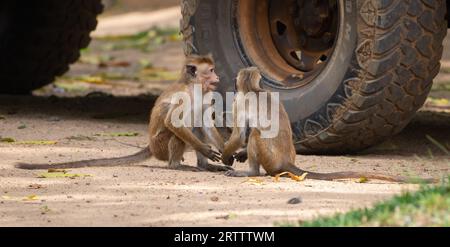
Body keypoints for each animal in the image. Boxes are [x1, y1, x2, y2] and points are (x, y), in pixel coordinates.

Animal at [14, 55, 232, 173]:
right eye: (210, 70)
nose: (217, 77)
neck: (195, 88)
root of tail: (151, 146)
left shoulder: (207, 95)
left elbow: (205, 124)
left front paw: (227, 152)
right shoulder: (182, 96)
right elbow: (173, 122)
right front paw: (203, 149)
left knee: (196, 128)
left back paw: (204, 166)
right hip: (160, 146)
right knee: (176, 134)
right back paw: (176, 166)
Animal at [222, 67, 436, 183]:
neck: (253, 89)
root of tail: (285, 161)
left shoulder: (237, 102)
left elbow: (240, 135)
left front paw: (226, 157)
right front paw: (239, 153)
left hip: (269, 158)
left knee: (256, 134)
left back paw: (252, 172)